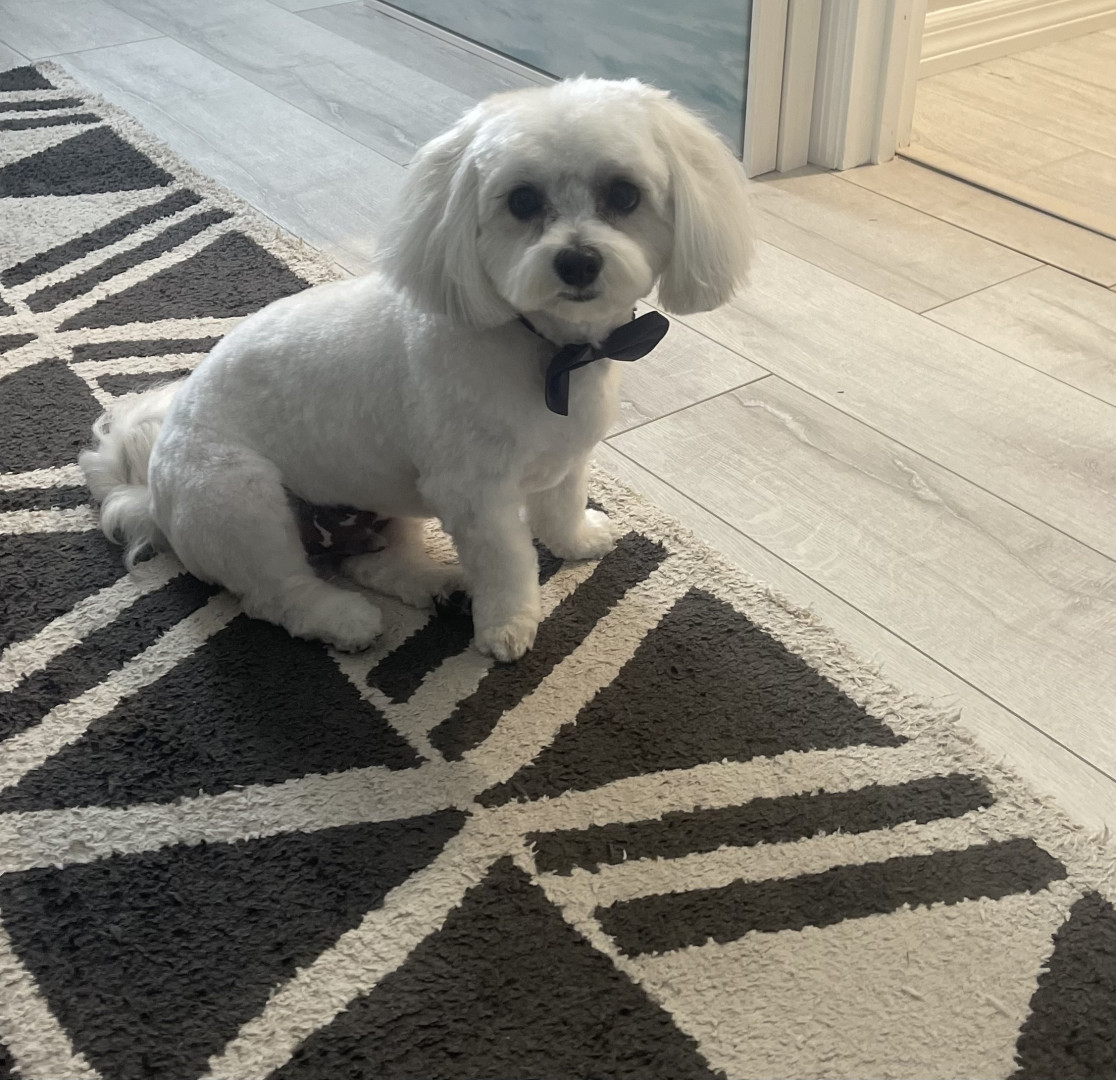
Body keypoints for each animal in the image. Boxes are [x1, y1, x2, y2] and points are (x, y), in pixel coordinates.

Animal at [80, 77, 752, 662]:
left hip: (378, 502)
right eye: (523, 201)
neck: (546, 348)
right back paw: (345, 618)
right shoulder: (474, 494)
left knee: (371, 560)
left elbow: (560, 505)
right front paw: (508, 626)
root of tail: (150, 487)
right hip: (240, 500)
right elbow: (508, 562)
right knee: (279, 592)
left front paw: (578, 541)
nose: (578, 261)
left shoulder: (567, 455)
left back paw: (437, 582)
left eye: (624, 195)